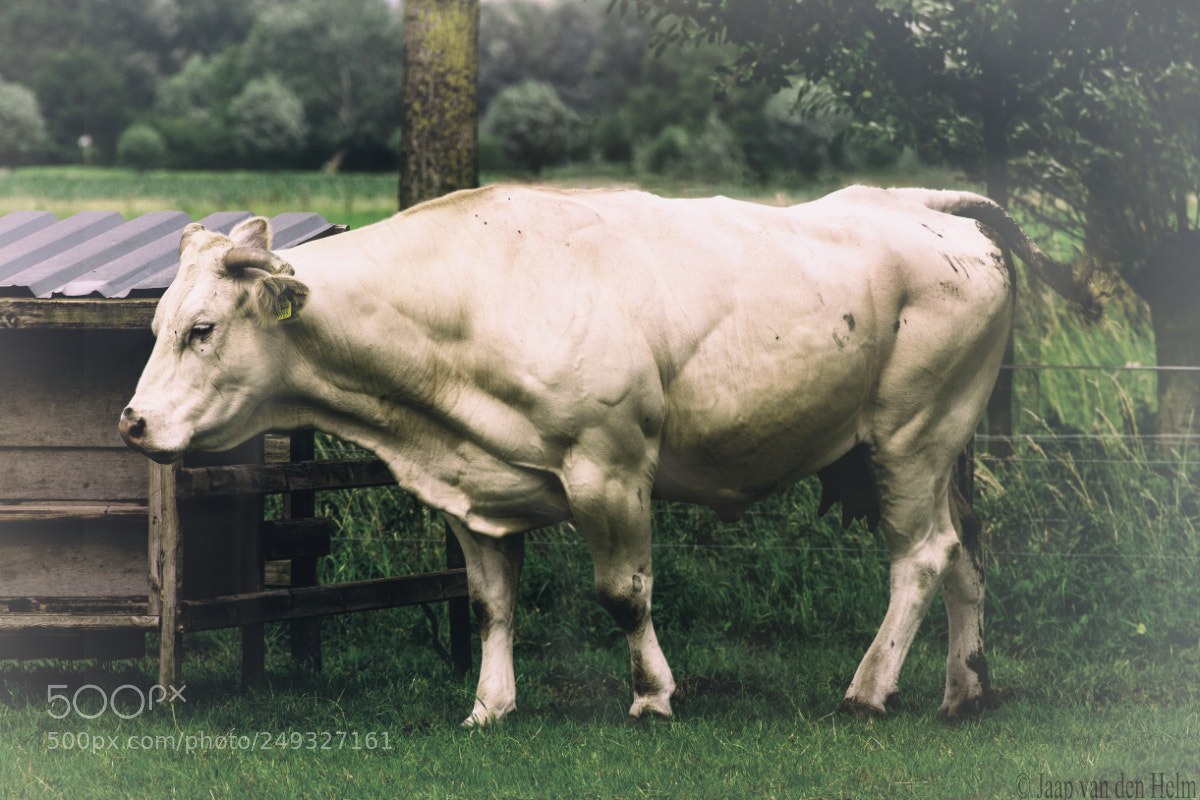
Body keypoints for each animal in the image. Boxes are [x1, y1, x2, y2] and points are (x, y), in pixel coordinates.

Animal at [119, 184, 1098, 726]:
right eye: (159, 323)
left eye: (202, 329)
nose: (132, 423)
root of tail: (919, 205)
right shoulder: (474, 492)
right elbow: (490, 603)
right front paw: (490, 705)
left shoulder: (610, 467)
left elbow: (623, 594)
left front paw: (653, 694)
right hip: (927, 450)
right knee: (967, 552)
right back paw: (963, 690)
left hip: (908, 436)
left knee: (921, 558)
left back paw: (869, 688)